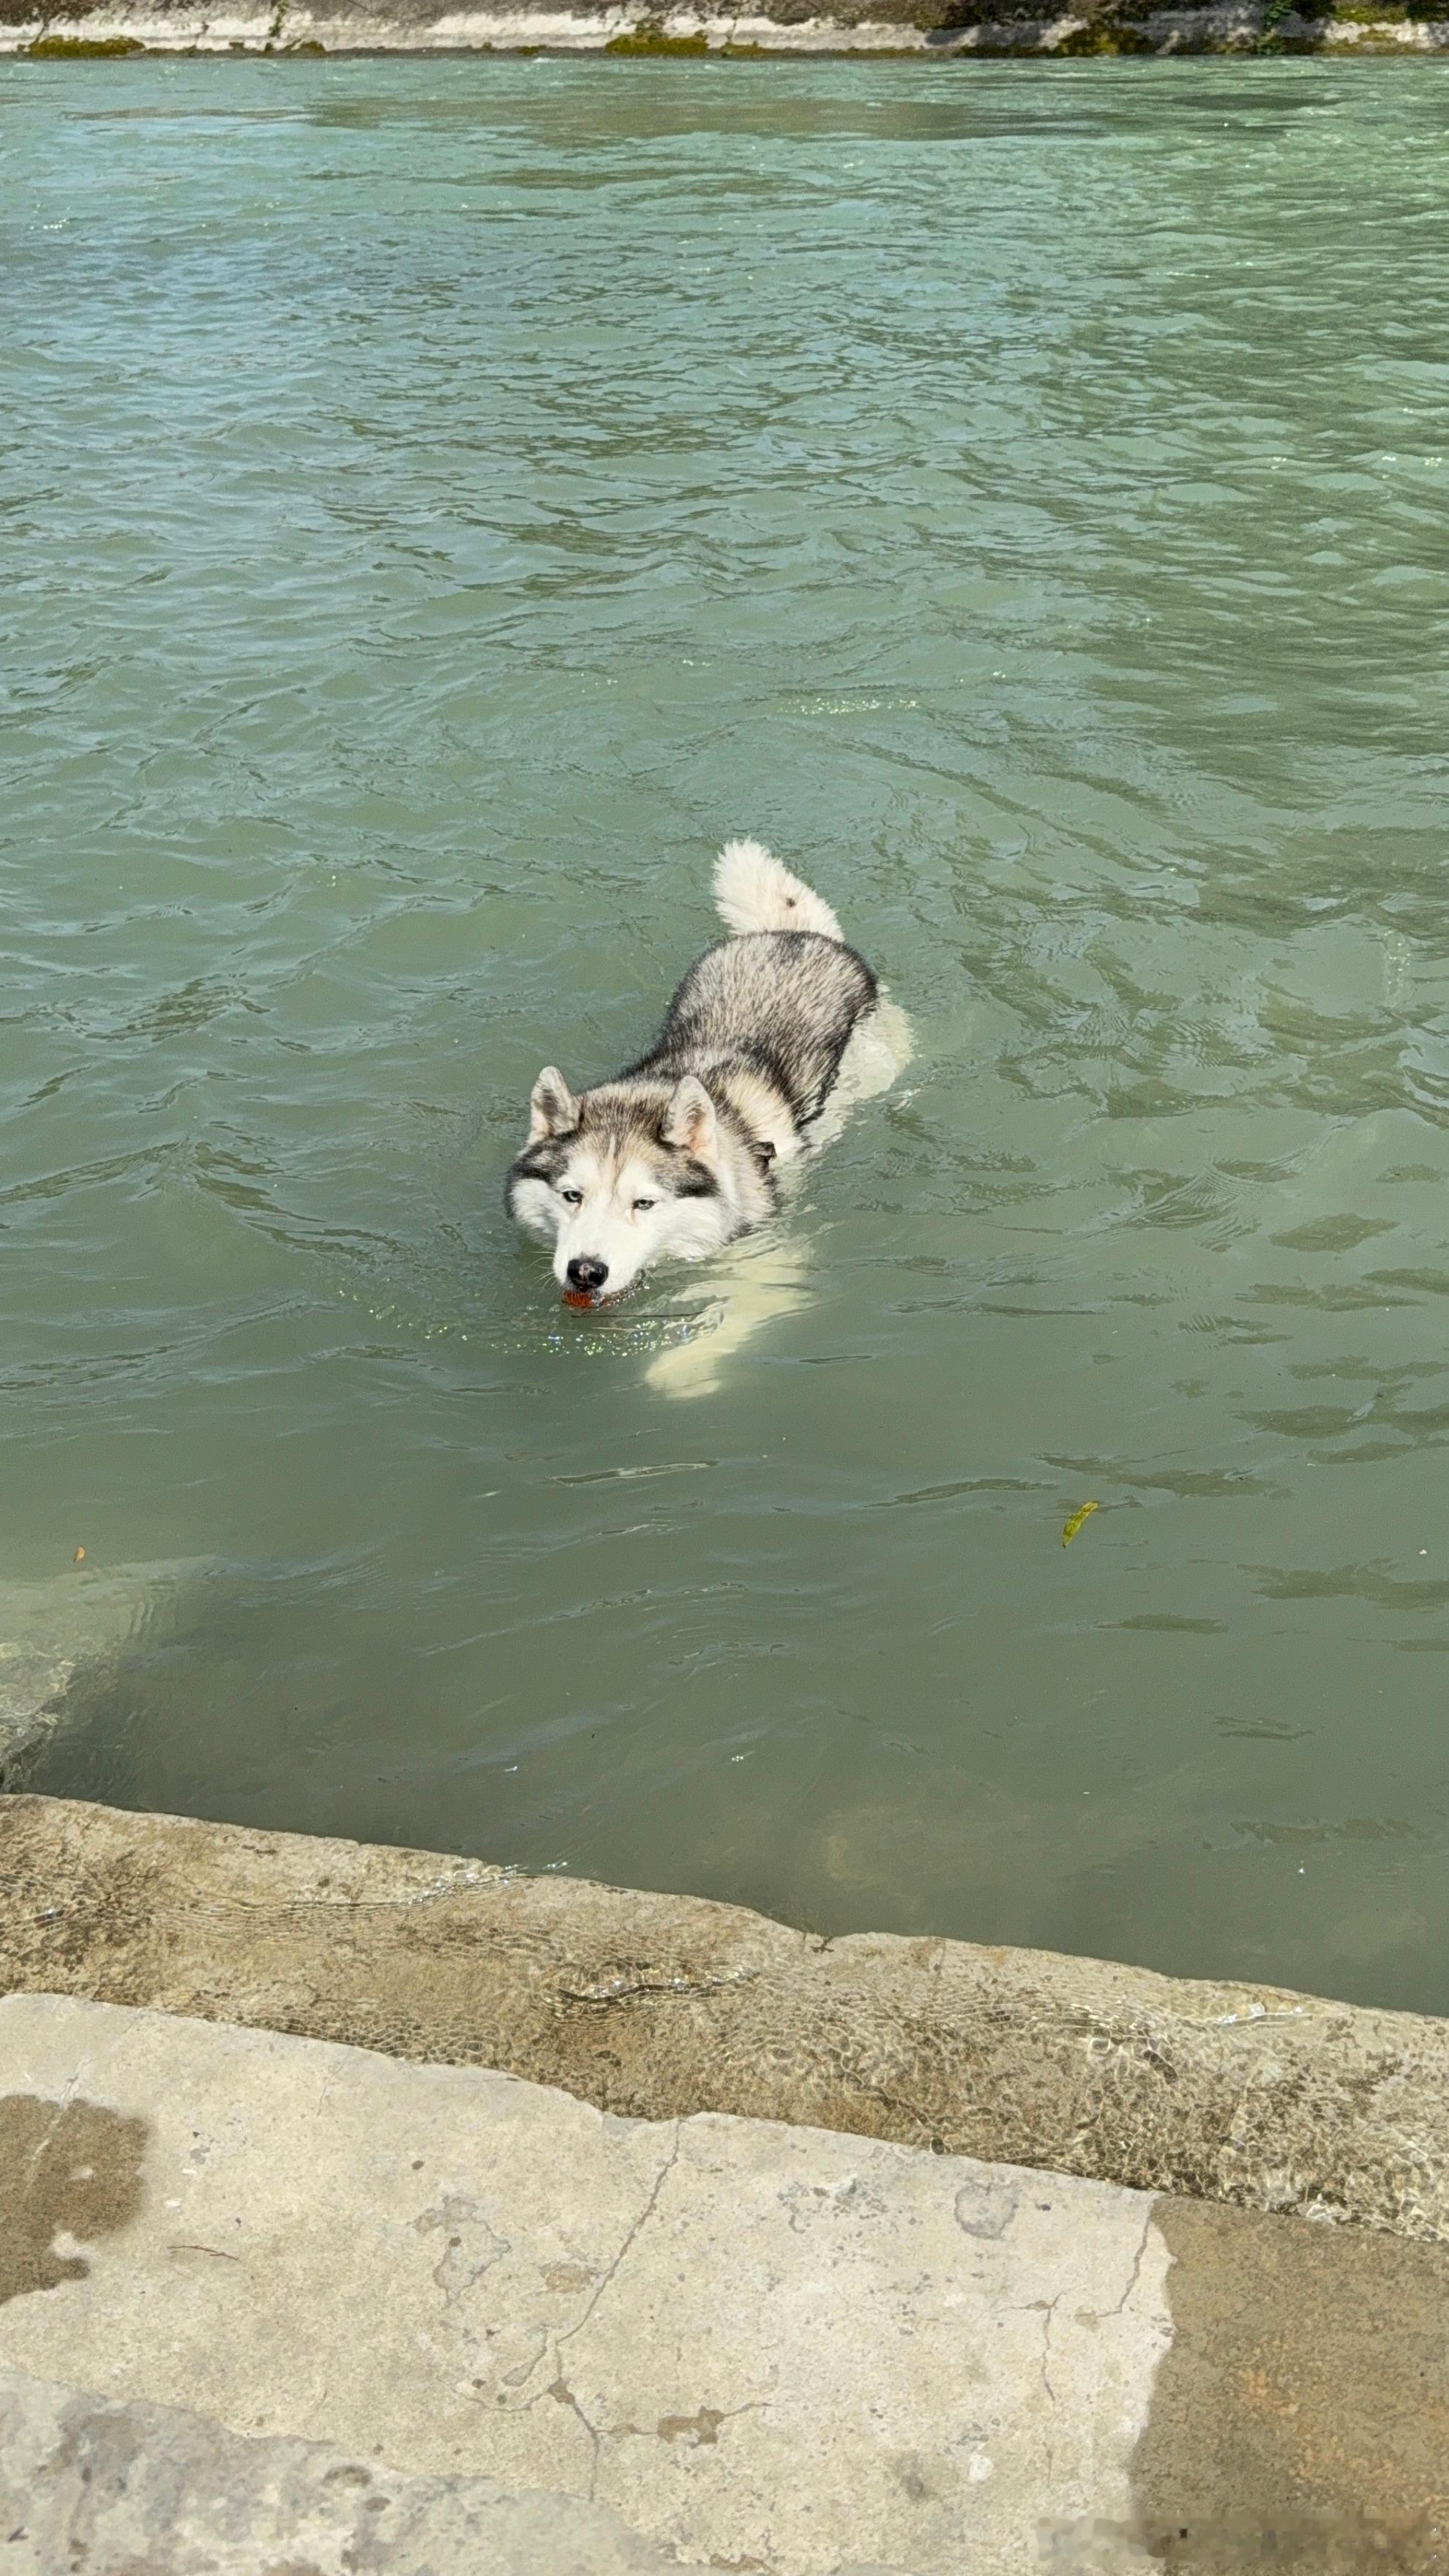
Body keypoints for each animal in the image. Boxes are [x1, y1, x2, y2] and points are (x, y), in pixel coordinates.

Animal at [506, 840, 908, 1374]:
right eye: (573, 1196)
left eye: (644, 1203)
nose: (586, 1272)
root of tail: (793, 934)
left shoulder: (770, 1258)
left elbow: (722, 1316)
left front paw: (678, 1372)